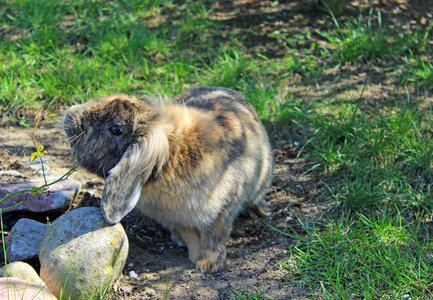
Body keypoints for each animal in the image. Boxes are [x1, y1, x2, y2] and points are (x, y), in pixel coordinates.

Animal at [63, 85, 274, 274]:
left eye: (115, 129)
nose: (70, 115)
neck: (170, 158)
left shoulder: (221, 213)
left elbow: (215, 238)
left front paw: (207, 265)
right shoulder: (176, 220)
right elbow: (190, 236)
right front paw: (194, 255)